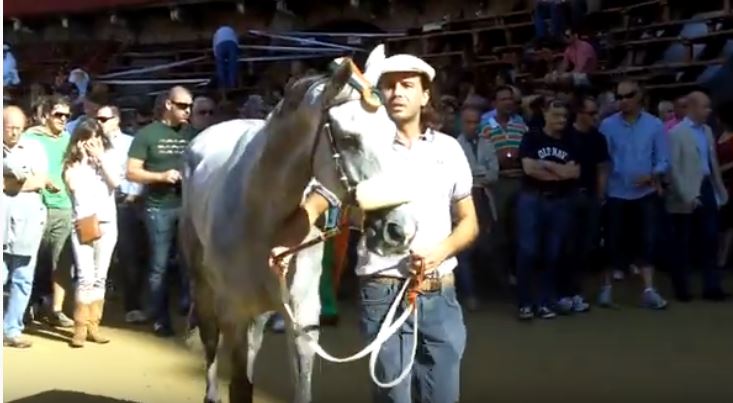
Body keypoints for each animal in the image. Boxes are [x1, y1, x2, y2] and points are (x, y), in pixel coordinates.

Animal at [179, 46, 419, 403]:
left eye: (392, 135)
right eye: (349, 139)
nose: (400, 229)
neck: (261, 217)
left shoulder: (303, 317)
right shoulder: (234, 311)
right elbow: (238, 385)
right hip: (204, 285)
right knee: (210, 339)